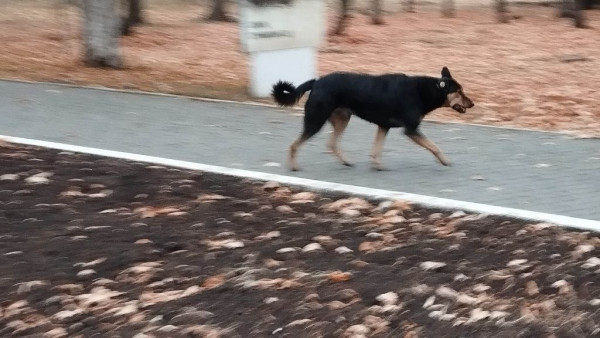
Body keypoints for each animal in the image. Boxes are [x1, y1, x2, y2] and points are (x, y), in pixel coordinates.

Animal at [270, 66, 474, 172]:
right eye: (459, 91)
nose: (472, 103)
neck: (424, 91)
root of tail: (317, 81)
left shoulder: (383, 126)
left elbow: (376, 150)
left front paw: (377, 165)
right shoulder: (411, 129)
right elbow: (434, 146)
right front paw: (445, 161)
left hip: (342, 119)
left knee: (331, 143)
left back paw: (346, 161)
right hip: (316, 120)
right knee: (294, 145)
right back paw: (294, 166)